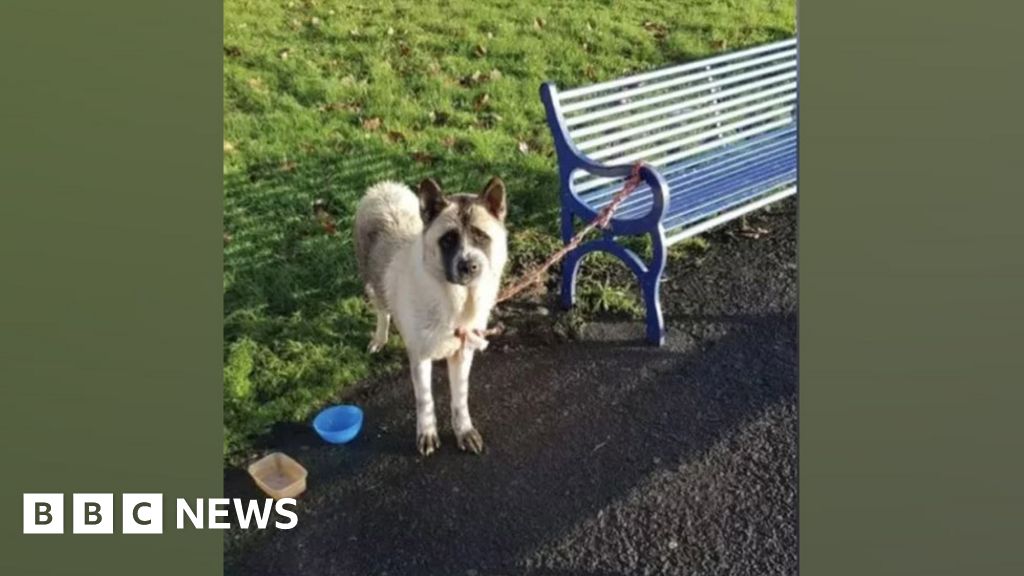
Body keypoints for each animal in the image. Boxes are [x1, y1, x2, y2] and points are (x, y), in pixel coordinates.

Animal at [354, 175, 509, 453]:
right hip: (371, 281)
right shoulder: (420, 357)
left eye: (481, 236)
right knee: (382, 311)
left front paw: (464, 431)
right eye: (448, 240)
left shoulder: (462, 354)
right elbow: (425, 400)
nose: (469, 266)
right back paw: (379, 339)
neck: (455, 300)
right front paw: (427, 433)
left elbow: (460, 398)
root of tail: (383, 188)